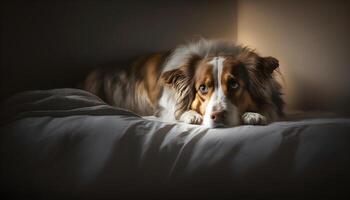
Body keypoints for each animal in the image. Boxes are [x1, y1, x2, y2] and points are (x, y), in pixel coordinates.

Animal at [82, 39, 284, 127]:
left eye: (234, 84)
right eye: (203, 88)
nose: (217, 116)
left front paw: (254, 114)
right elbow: (176, 112)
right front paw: (190, 115)